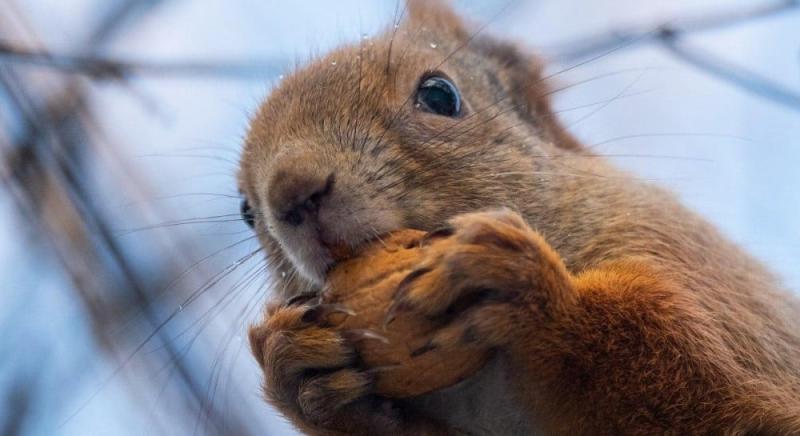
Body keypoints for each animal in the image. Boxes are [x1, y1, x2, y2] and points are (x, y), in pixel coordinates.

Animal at [241, 1, 800, 434]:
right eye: (246, 212)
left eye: (440, 95)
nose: (293, 192)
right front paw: (295, 371)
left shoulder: (695, 268)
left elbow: (720, 400)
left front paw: (533, 297)